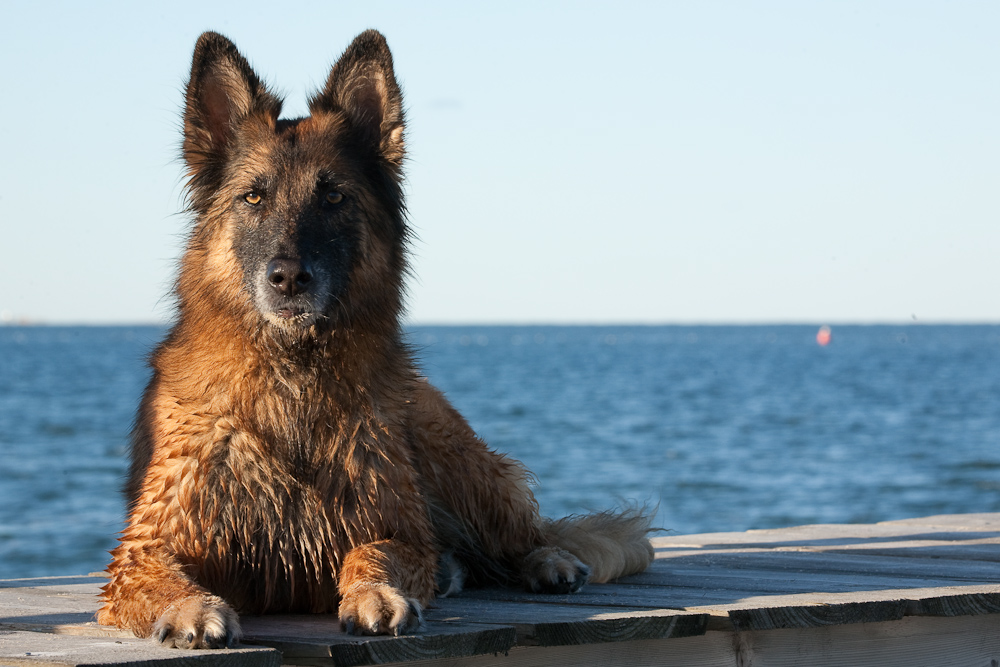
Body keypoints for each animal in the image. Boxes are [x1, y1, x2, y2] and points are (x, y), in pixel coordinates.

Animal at [95, 30, 656, 648]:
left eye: (333, 198)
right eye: (254, 198)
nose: (288, 277)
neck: (292, 377)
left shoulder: (396, 528)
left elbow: (373, 553)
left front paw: (375, 593)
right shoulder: (146, 548)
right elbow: (162, 574)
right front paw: (192, 607)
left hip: (447, 447)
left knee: (521, 533)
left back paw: (546, 561)